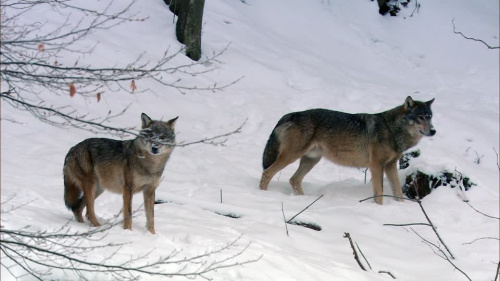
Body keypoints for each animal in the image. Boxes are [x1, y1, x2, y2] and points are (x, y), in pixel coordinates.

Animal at [260, 96, 436, 203]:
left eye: (430, 117)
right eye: (420, 117)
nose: (433, 131)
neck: (392, 129)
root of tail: (288, 115)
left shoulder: (390, 165)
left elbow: (398, 193)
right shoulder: (376, 165)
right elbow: (379, 194)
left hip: (311, 160)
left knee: (294, 179)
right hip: (292, 156)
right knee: (267, 172)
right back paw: (263, 195)